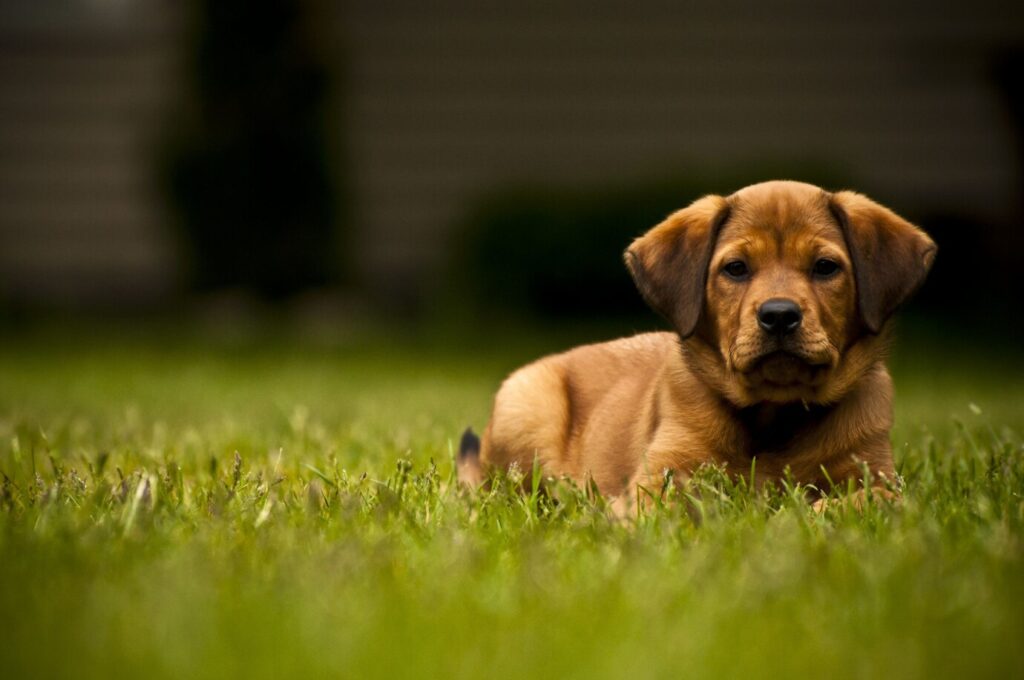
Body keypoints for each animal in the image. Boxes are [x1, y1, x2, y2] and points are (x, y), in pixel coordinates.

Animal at [456, 178, 937, 512]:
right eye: (736, 268)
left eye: (825, 267)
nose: (780, 315)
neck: (773, 419)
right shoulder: (660, 476)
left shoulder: (876, 476)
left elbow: (860, 502)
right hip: (526, 406)